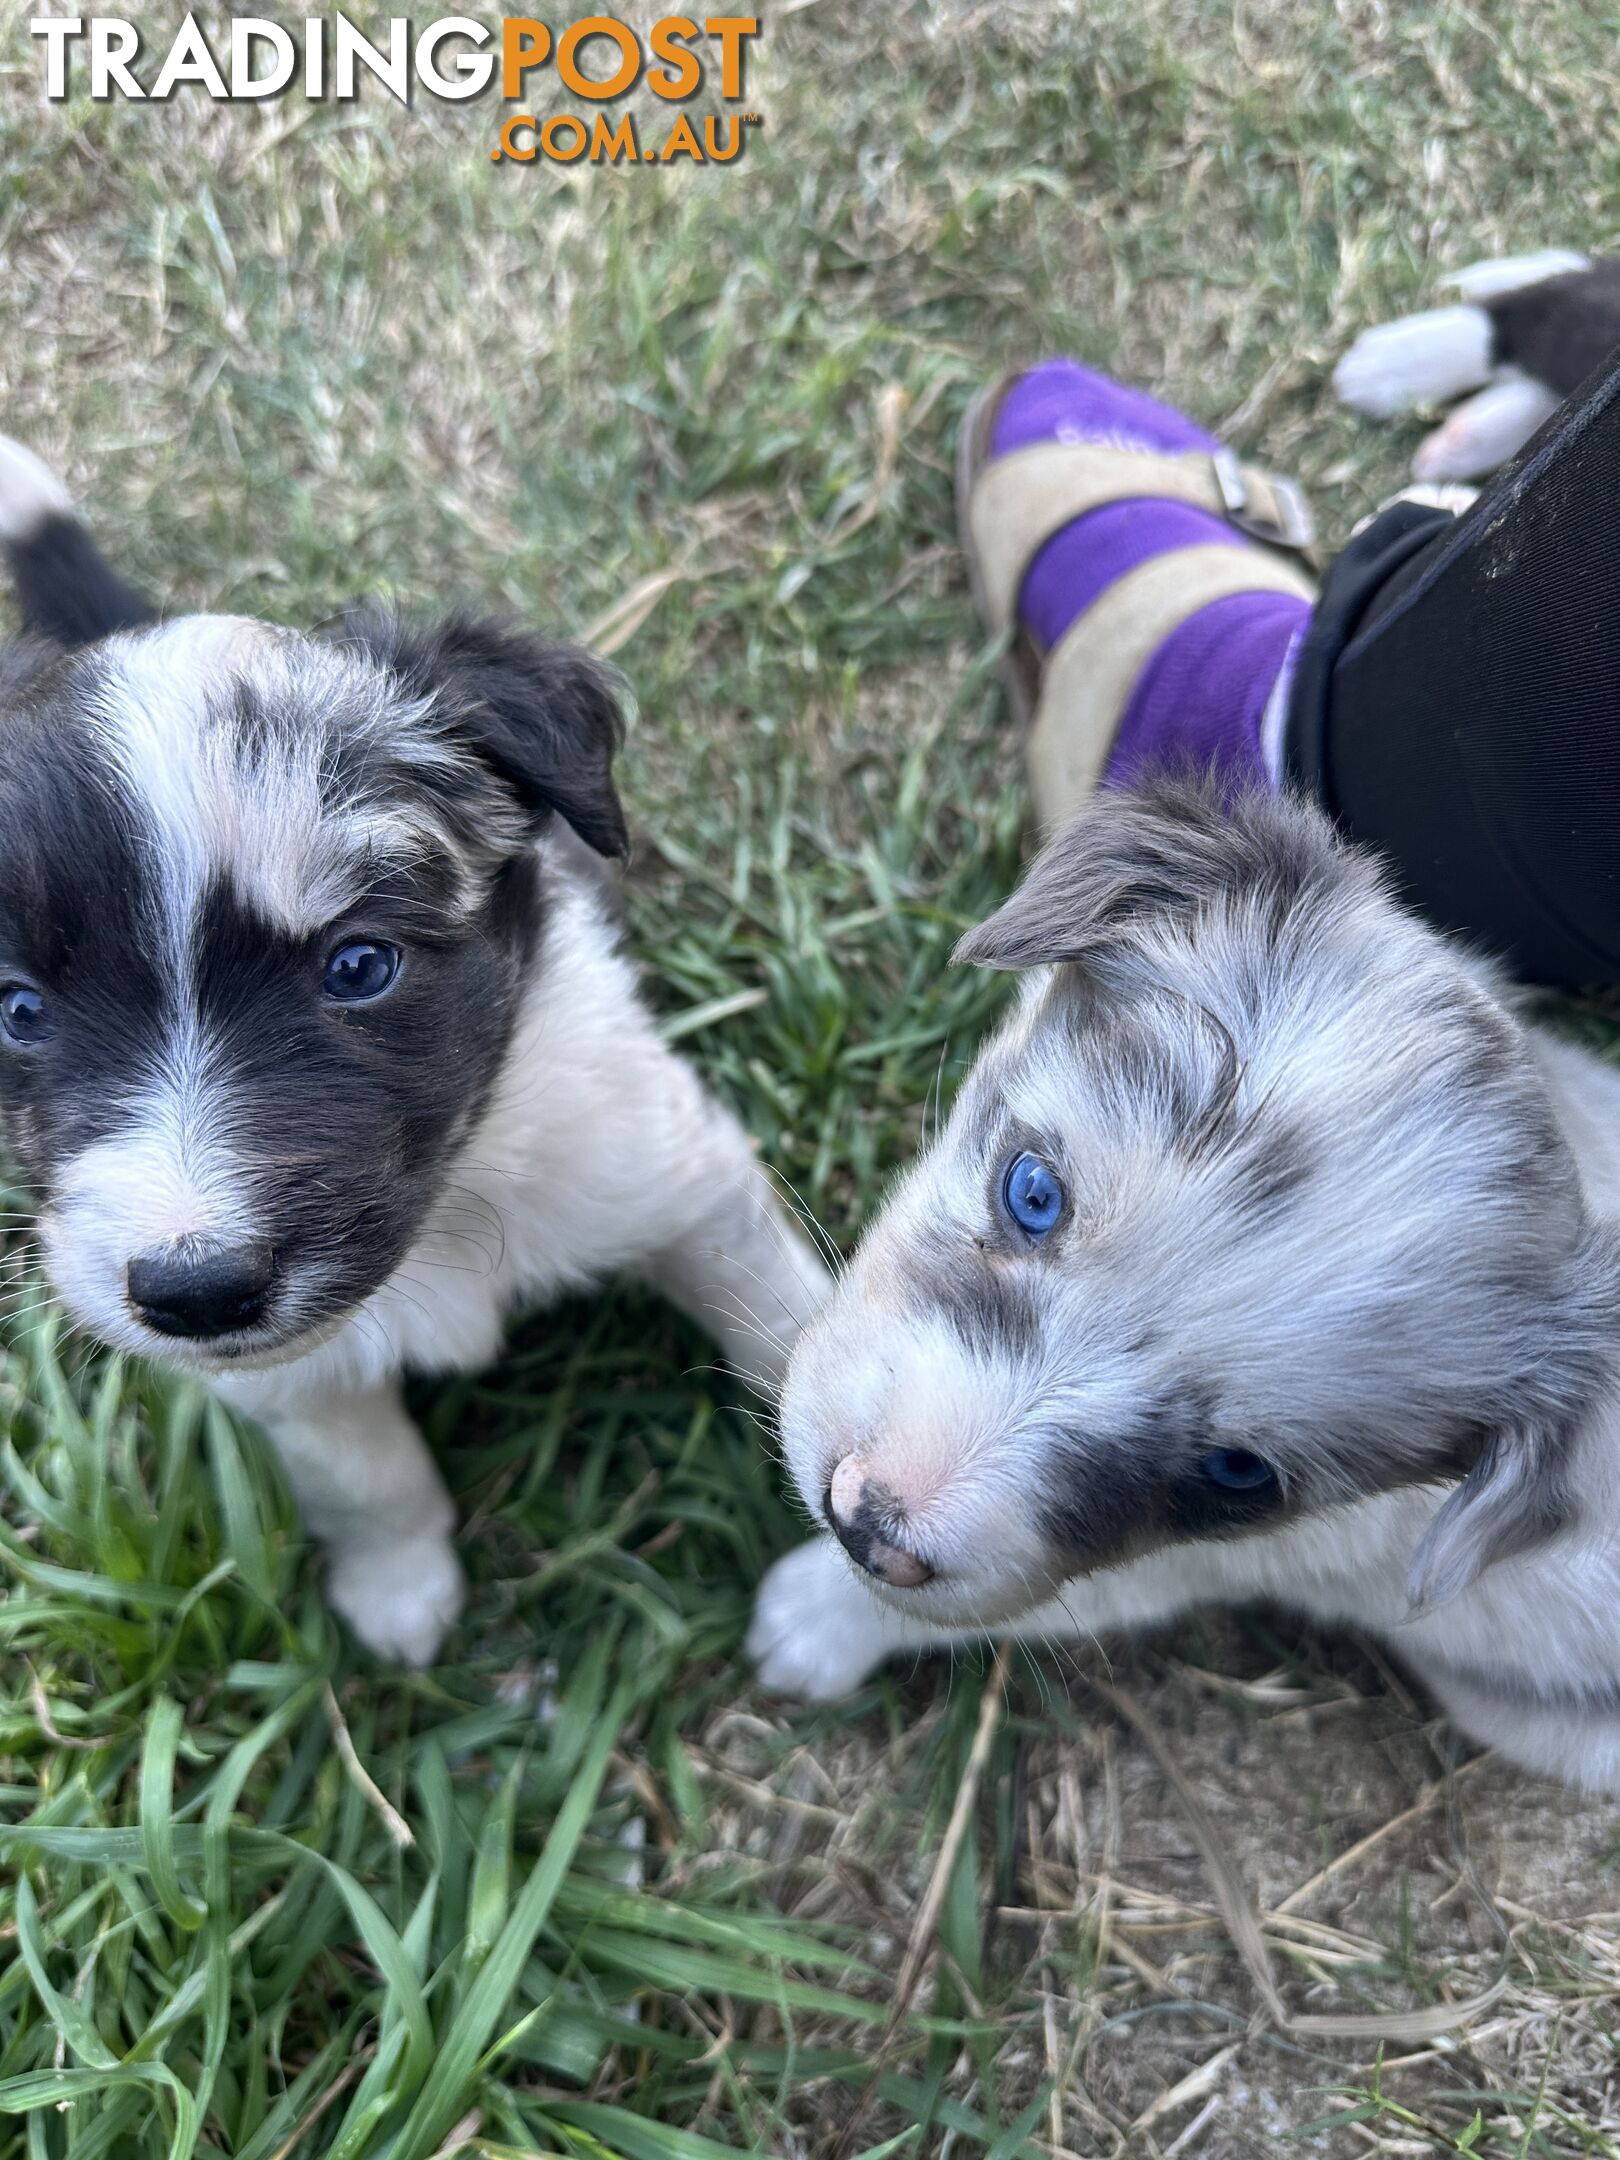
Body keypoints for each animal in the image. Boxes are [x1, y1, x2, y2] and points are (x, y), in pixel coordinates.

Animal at [0, 434, 829, 1650]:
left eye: (359, 967)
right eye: (19, 1011)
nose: (196, 1292)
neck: (448, 1205)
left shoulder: (674, 1176)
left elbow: (784, 1325)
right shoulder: (282, 1376)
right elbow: (364, 1472)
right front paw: (400, 1587)